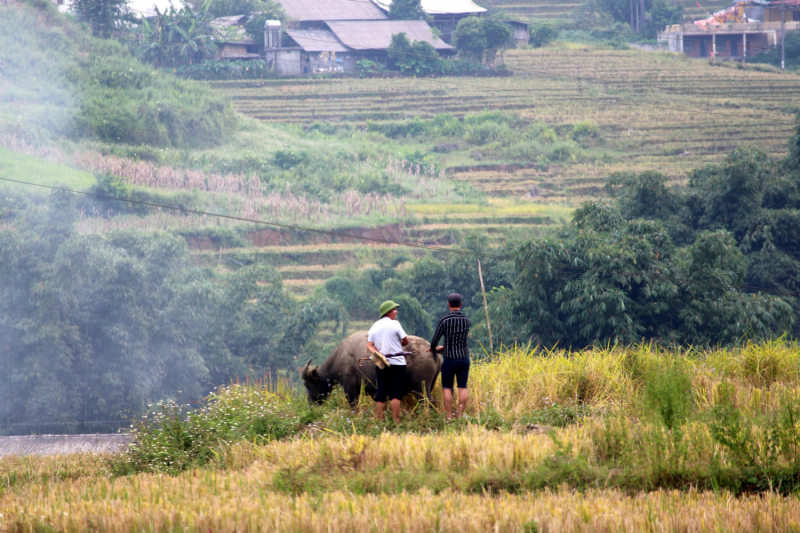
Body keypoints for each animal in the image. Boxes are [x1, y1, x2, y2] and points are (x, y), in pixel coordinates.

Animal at [300, 330, 440, 406]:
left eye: (309, 385)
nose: (310, 404)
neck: (340, 355)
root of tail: (432, 350)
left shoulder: (349, 388)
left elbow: (353, 405)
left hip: (420, 388)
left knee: (427, 402)